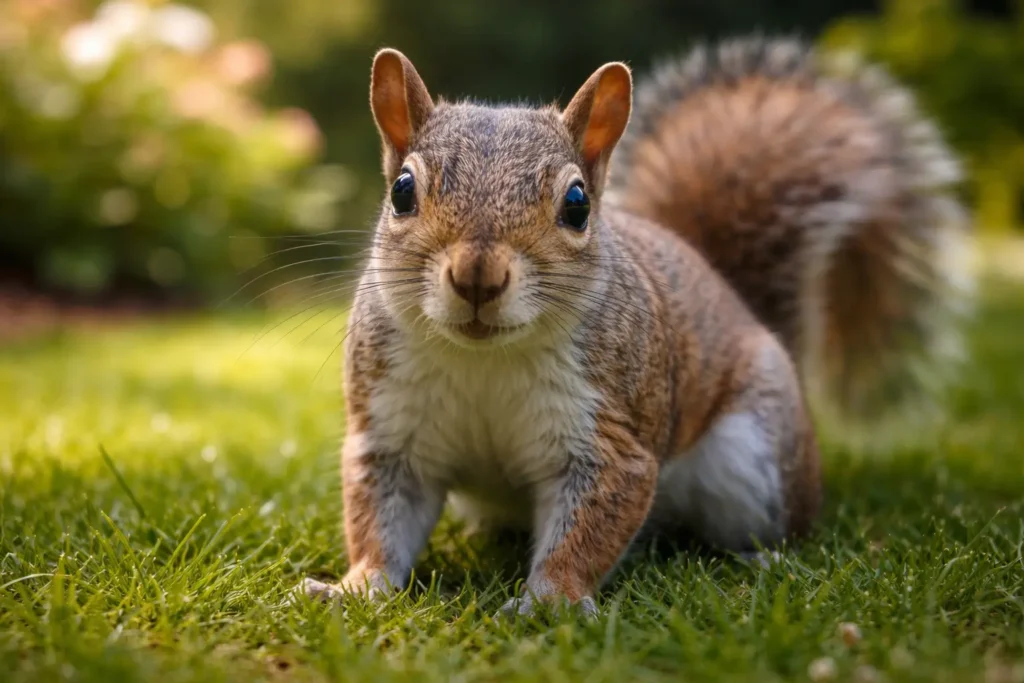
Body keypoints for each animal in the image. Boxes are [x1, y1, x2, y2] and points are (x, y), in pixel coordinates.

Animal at [301, 37, 973, 617]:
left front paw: (552, 601)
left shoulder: (611, 440)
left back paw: (763, 560)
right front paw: (354, 587)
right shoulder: (391, 434)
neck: (484, 359)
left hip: (756, 459)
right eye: (402, 192)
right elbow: (378, 522)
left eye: (576, 206)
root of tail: (735, 298)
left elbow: (588, 531)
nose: (477, 277)